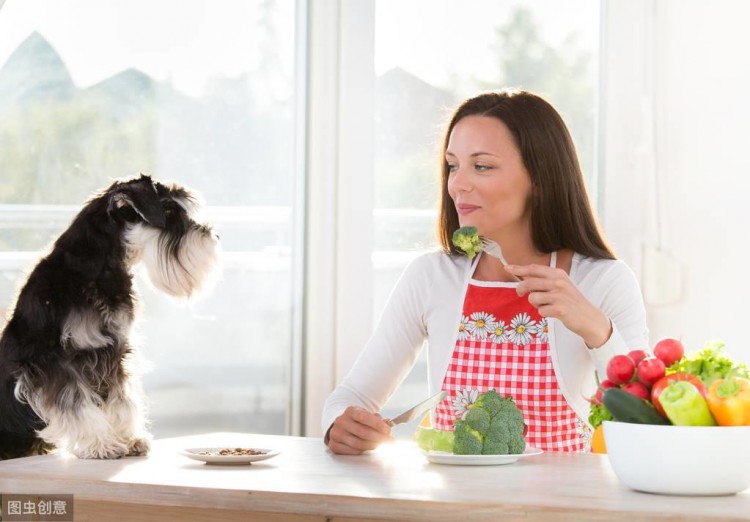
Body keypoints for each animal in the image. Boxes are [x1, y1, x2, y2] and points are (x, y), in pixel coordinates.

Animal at [0, 176, 222, 460]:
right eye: (169, 210)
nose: (213, 236)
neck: (94, 272)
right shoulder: (54, 360)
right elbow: (76, 402)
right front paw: (100, 444)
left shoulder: (115, 351)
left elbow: (122, 399)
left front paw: (129, 439)